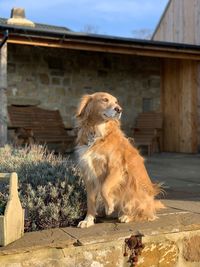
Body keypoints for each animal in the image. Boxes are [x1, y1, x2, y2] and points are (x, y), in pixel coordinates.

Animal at [76, 91, 163, 228]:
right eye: (105, 100)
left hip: (133, 188)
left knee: (146, 215)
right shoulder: (88, 174)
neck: (98, 133)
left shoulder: (116, 168)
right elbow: (90, 200)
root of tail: (152, 204)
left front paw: (109, 206)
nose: (119, 109)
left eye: (116, 102)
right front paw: (88, 220)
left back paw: (127, 216)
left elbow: (104, 187)